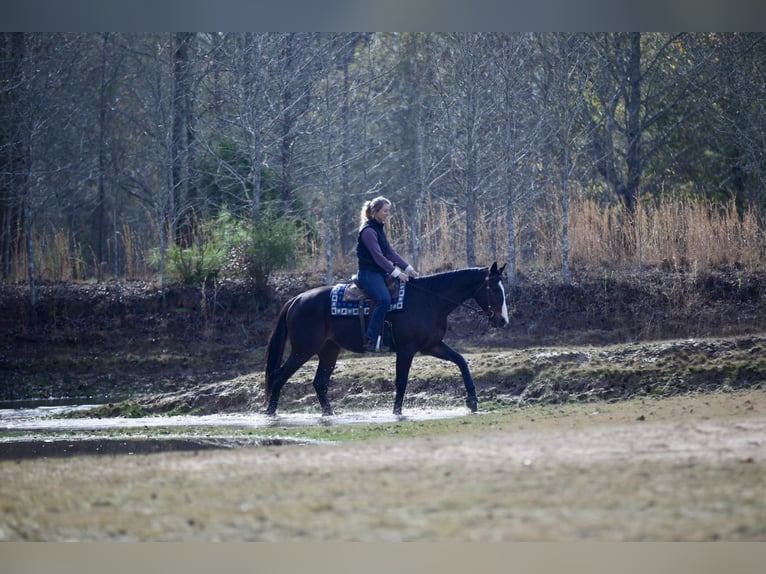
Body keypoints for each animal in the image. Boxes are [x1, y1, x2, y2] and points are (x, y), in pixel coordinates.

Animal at [264, 262, 509, 416]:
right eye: (495, 290)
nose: (503, 321)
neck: (429, 300)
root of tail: (296, 299)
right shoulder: (407, 349)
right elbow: (401, 381)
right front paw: (397, 412)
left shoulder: (432, 346)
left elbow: (461, 361)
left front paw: (472, 401)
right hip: (303, 350)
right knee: (278, 377)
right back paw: (270, 414)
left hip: (329, 350)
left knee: (319, 383)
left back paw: (330, 414)